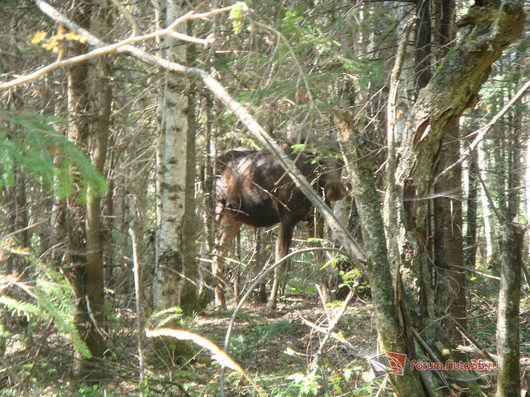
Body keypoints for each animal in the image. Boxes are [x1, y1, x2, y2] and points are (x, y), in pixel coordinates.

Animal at [212, 138, 344, 308]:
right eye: (320, 161)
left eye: (341, 161)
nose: (335, 190)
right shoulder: (287, 217)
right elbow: (280, 261)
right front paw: (271, 303)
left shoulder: (316, 219)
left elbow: (319, 258)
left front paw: (327, 298)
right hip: (217, 208)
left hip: (233, 217)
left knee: (220, 253)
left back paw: (221, 301)